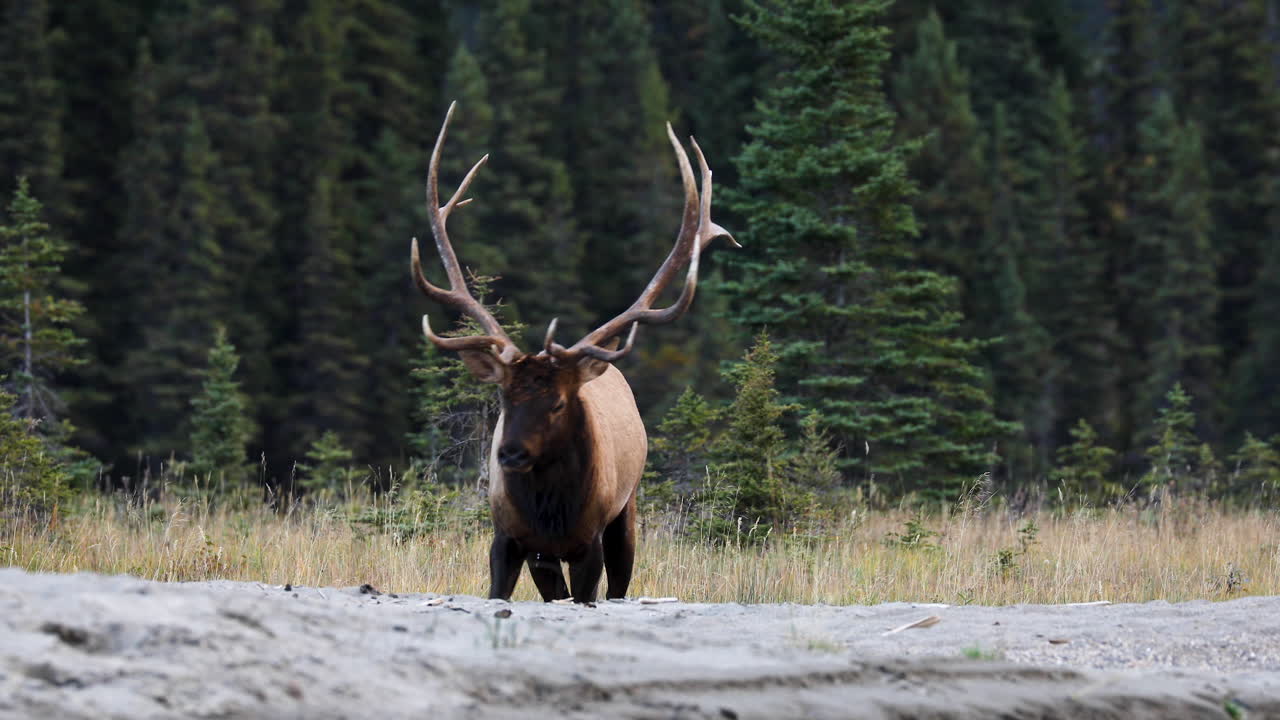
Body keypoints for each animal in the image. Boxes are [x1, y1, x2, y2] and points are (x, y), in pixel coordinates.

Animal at [410, 102, 735, 603]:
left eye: (559, 403)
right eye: (503, 398)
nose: (510, 454)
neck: (551, 513)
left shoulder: (590, 541)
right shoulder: (510, 538)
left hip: (627, 511)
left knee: (620, 581)